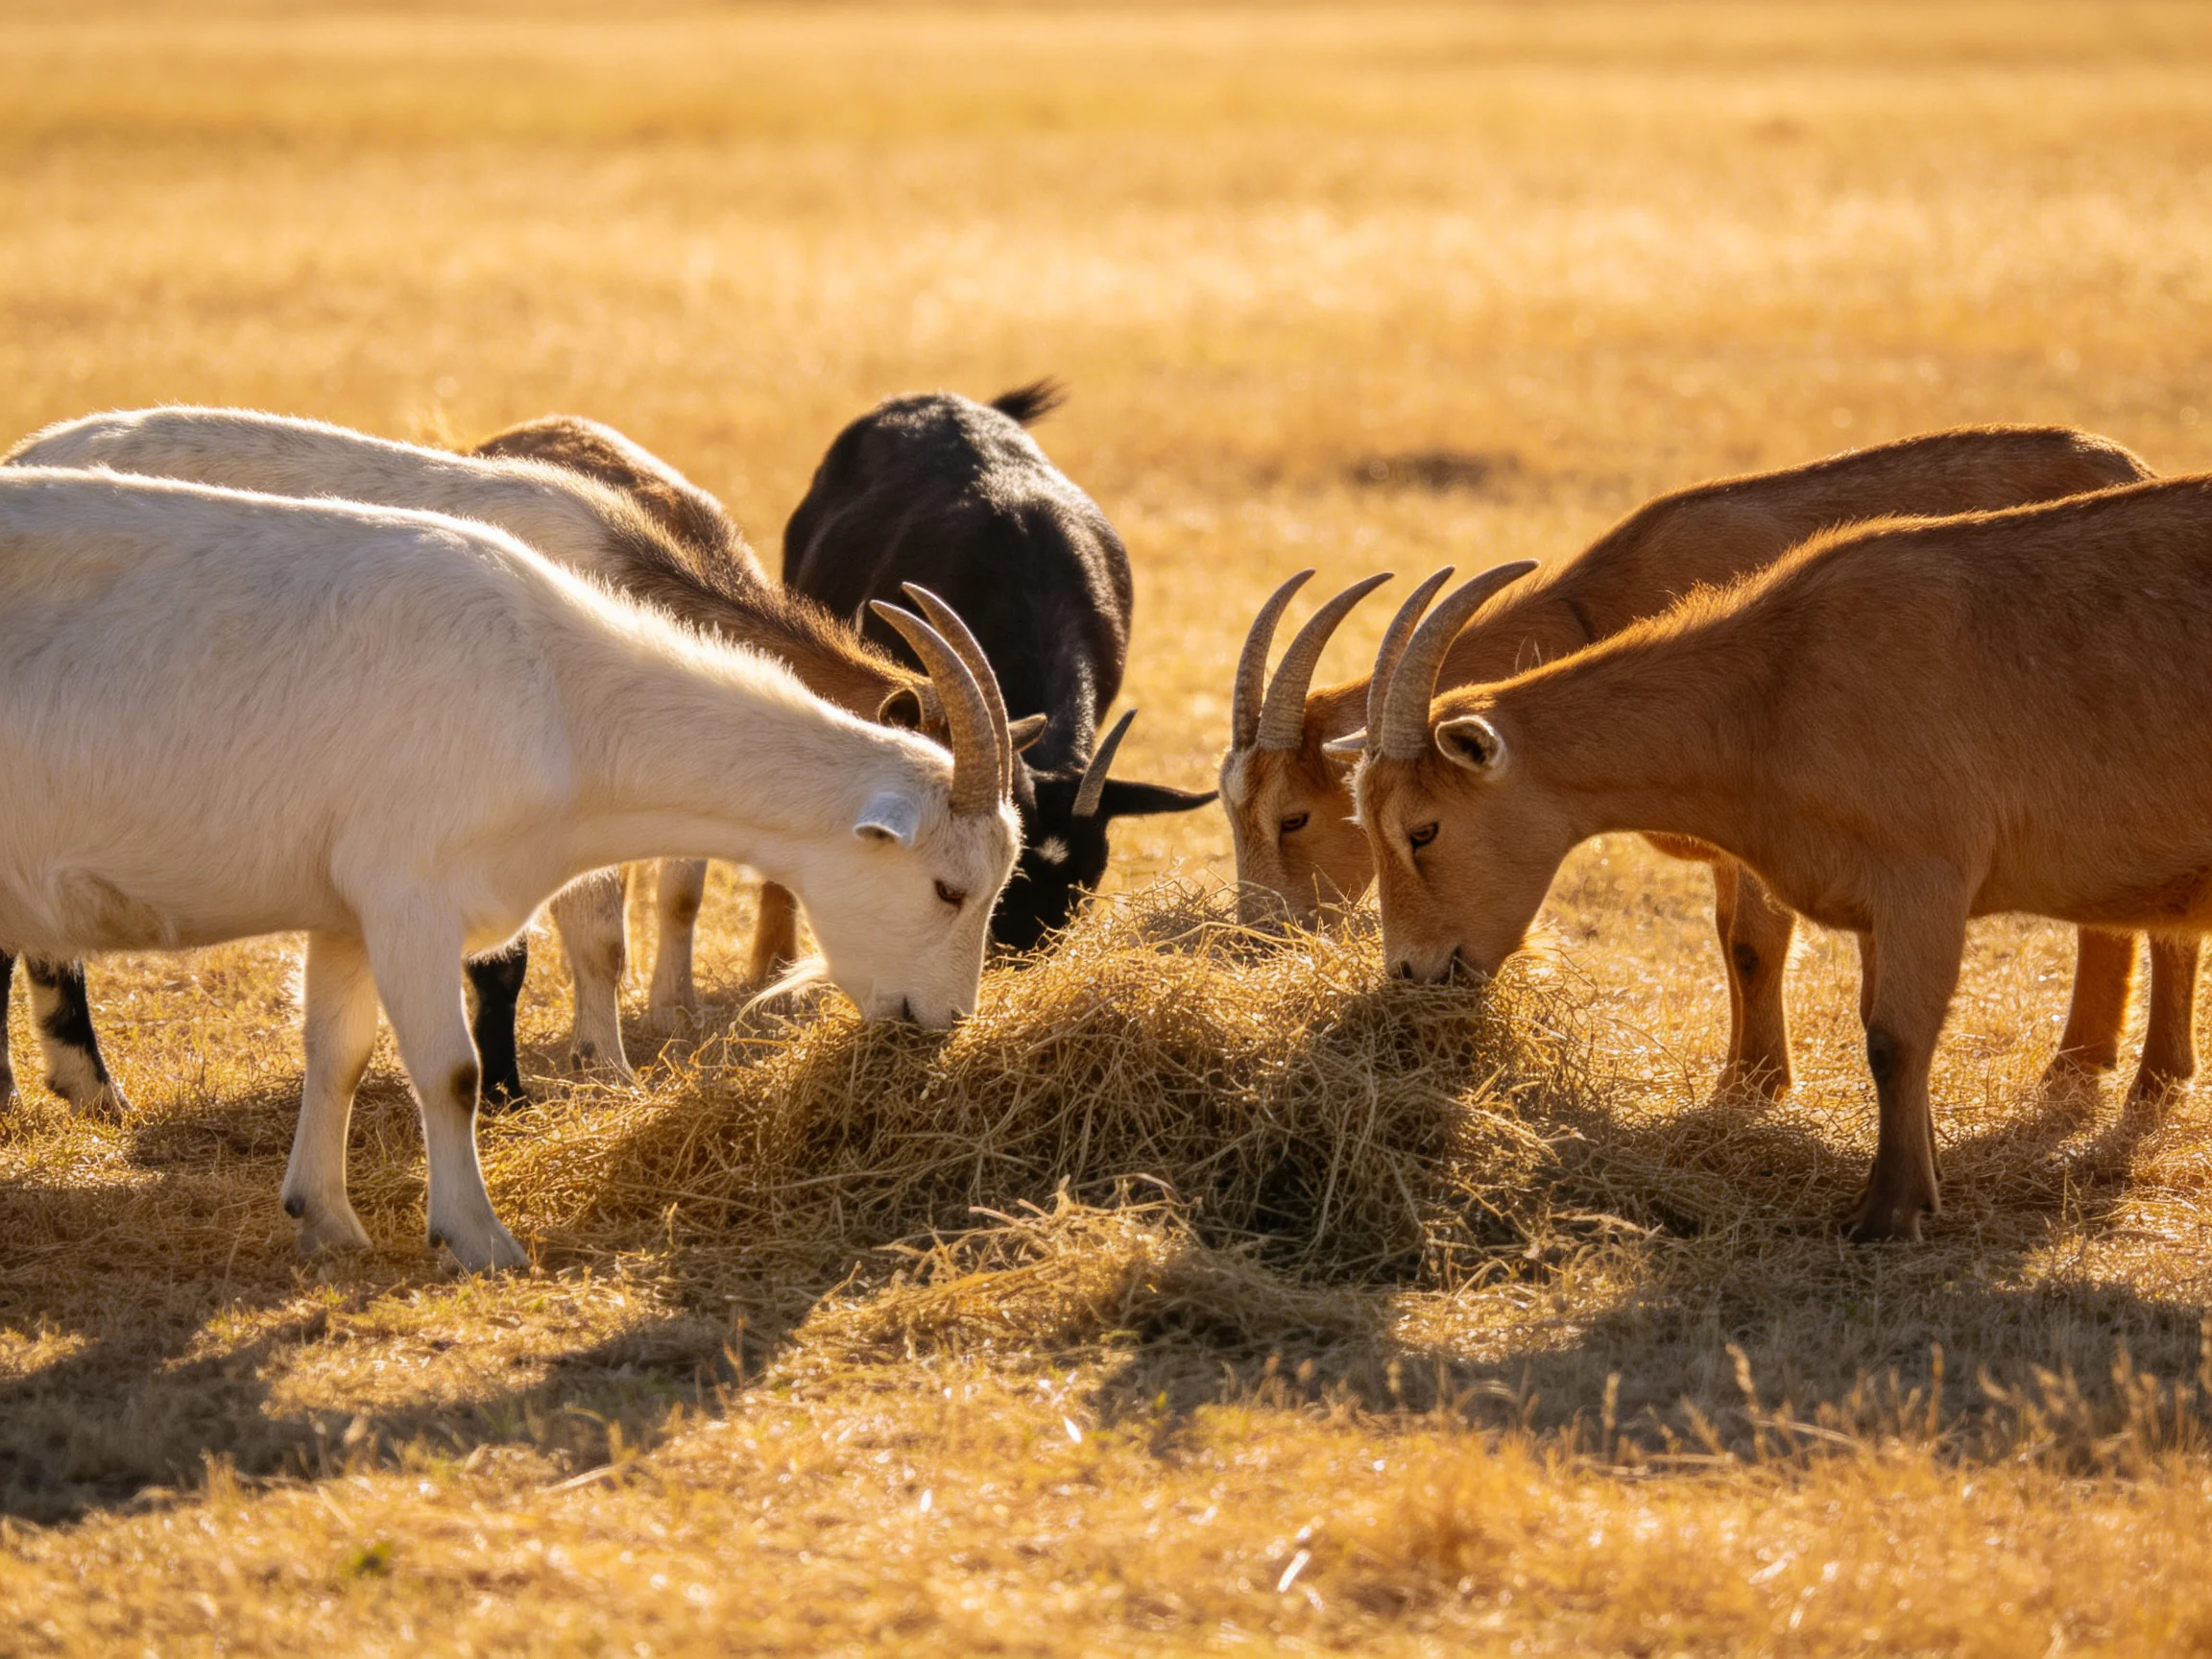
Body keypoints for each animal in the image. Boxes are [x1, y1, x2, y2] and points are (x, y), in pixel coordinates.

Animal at [1225, 425, 2161, 1099]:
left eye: (1297, 816)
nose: (1256, 940)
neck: (1601, 608)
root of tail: (2126, 465)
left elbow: (1752, 941)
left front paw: (1752, 1087)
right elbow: (1730, 939)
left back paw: (2111, 1073)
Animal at [1353, 475, 2212, 1241]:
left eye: (1422, 830)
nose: (1410, 970)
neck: (1776, 685)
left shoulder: (1925, 881)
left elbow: (1894, 1040)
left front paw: (1885, 1217)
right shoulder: (1879, 908)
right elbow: (1882, 1026)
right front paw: (1915, 1186)